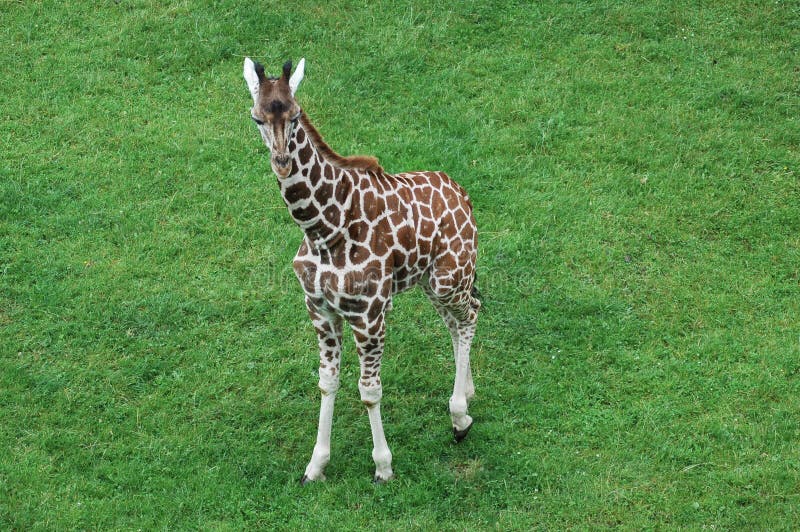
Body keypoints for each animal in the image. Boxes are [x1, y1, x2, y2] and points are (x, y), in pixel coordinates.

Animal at [243, 58, 480, 483]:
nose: (282, 162)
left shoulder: (369, 314)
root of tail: (462, 194)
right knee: (455, 322)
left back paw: (458, 417)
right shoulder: (320, 310)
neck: (322, 228)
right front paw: (316, 465)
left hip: (449, 276)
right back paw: (466, 395)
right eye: (256, 117)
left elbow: (369, 390)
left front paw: (383, 466)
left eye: (295, 115)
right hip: (431, 281)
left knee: (470, 314)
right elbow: (327, 382)